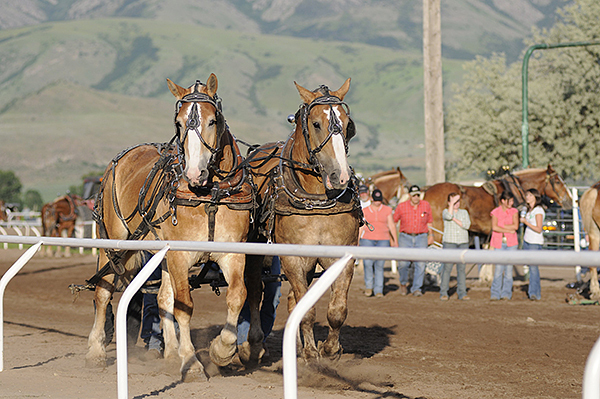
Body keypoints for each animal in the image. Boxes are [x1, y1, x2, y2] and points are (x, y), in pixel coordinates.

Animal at [85, 76, 258, 382]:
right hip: (114, 241)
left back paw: (170, 354)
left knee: (163, 297)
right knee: (103, 292)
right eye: (179, 123)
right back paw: (95, 351)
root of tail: (119, 160)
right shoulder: (180, 255)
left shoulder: (233, 253)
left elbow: (237, 296)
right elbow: (184, 307)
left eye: (213, 121)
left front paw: (221, 350)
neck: (209, 196)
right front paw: (192, 363)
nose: (194, 173)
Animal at [245, 78, 360, 362]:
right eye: (316, 123)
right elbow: (306, 310)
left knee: (292, 300)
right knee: (254, 289)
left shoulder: (342, 256)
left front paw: (330, 349)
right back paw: (255, 343)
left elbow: (337, 309)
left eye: (348, 124)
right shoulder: (293, 259)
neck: (316, 200)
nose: (340, 176)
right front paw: (310, 352)